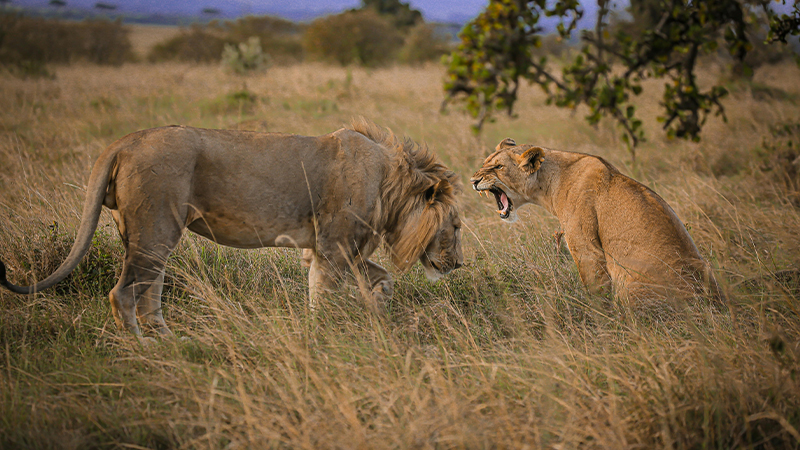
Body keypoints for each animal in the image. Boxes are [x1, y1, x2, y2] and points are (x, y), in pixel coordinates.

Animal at [0, 118, 462, 336]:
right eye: (457, 227)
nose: (457, 265)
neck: (390, 183)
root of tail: (125, 141)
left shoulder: (322, 249)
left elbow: (363, 282)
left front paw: (372, 315)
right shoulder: (336, 245)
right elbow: (335, 292)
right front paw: (328, 331)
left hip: (146, 236)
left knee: (149, 292)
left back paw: (171, 341)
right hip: (156, 228)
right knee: (123, 293)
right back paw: (145, 347)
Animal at [472, 139, 720, 300]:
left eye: (498, 167)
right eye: (485, 163)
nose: (473, 180)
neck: (550, 182)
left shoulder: (586, 249)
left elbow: (596, 291)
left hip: (629, 283)